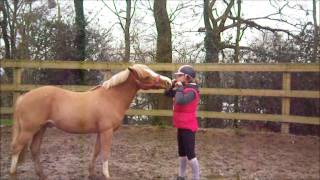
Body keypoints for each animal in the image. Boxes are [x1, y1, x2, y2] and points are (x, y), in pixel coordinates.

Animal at [9, 64, 172, 179]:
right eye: (146, 76)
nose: (168, 82)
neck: (111, 98)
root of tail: (23, 97)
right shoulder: (107, 131)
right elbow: (105, 152)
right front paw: (107, 175)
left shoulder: (100, 132)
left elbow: (96, 151)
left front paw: (91, 173)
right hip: (29, 130)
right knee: (16, 148)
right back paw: (13, 174)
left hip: (40, 129)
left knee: (34, 149)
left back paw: (42, 175)